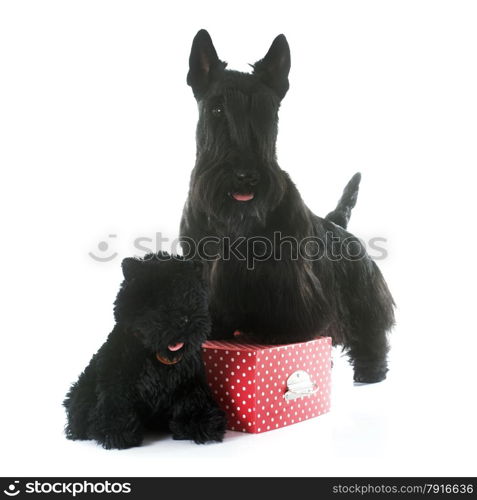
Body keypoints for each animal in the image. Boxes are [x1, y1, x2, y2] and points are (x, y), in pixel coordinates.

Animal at [64, 254, 226, 450]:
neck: (157, 355)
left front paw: (202, 424)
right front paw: (117, 433)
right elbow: (117, 403)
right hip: (82, 388)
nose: (183, 320)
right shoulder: (117, 379)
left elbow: (193, 402)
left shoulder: (189, 383)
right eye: (157, 299)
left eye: (191, 295)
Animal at [179, 30, 394, 382]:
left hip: (362, 297)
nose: (246, 176)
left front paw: (281, 334)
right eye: (216, 109)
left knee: (370, 334)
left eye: (267, 111)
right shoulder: (202, 264)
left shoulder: (288, 274)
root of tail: (338, 223)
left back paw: (370, 372)